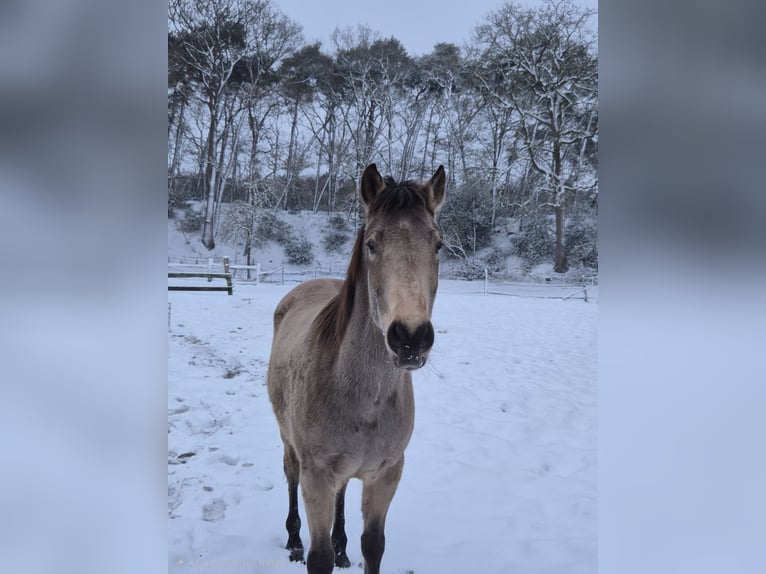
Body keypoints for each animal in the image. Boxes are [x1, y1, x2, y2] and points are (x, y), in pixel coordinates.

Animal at [266, 163, 446, 574]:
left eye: (438, 245)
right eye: (372, 244)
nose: (410, 337)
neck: (362, 395)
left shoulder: (386, 473)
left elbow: (373, 545)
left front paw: (348, 548)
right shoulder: (316, 477)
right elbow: (319, 558)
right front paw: (314, 548)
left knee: (343, 494)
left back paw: (343, 547)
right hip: (290, 444)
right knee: (289, 474)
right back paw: (293, 540)